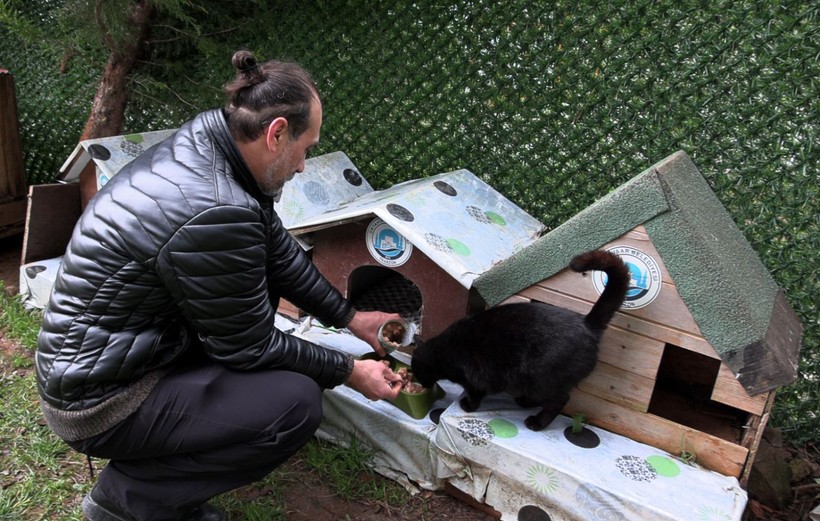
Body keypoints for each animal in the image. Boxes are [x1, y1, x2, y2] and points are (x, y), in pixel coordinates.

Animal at [410, 250, 628, 428]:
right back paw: (524, 402)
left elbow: (474, 395)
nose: (420, 384)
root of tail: (587, 323)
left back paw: (537, 422)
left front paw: (467, 406)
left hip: (541, 380)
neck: (443, 351)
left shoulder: (474, 380)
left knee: (559, 400)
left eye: (417, 372)